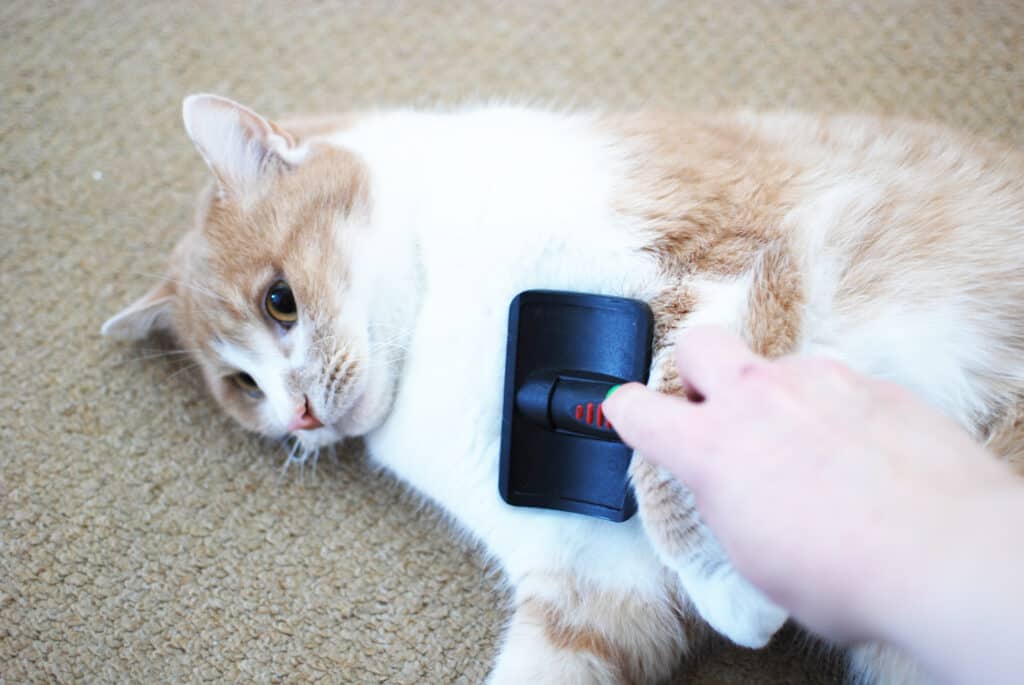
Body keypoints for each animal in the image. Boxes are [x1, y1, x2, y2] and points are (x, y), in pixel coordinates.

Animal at [101, 96, 1024, 683]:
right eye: (241, 386)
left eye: (280, 301)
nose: (297, 416)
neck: (438, 325)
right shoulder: (597, 585)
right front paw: (744, 597)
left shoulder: (736, 260)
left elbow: (658, 451)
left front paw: (736, 583)